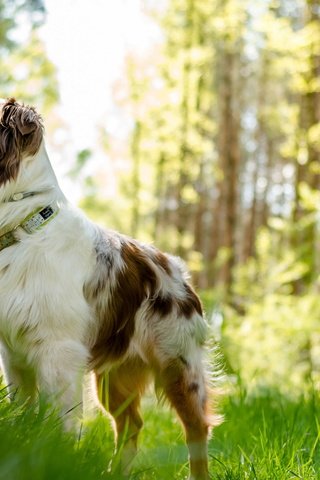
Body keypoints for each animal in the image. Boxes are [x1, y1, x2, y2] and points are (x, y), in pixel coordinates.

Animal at [0, 98, 221, 480]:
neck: (23, 225)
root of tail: (178, 270)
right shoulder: (14, 354)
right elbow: (23, 413)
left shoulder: (58, 352)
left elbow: (58, 422)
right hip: (113, 377)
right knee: (132, 425)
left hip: (178, 367)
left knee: (196, 428)